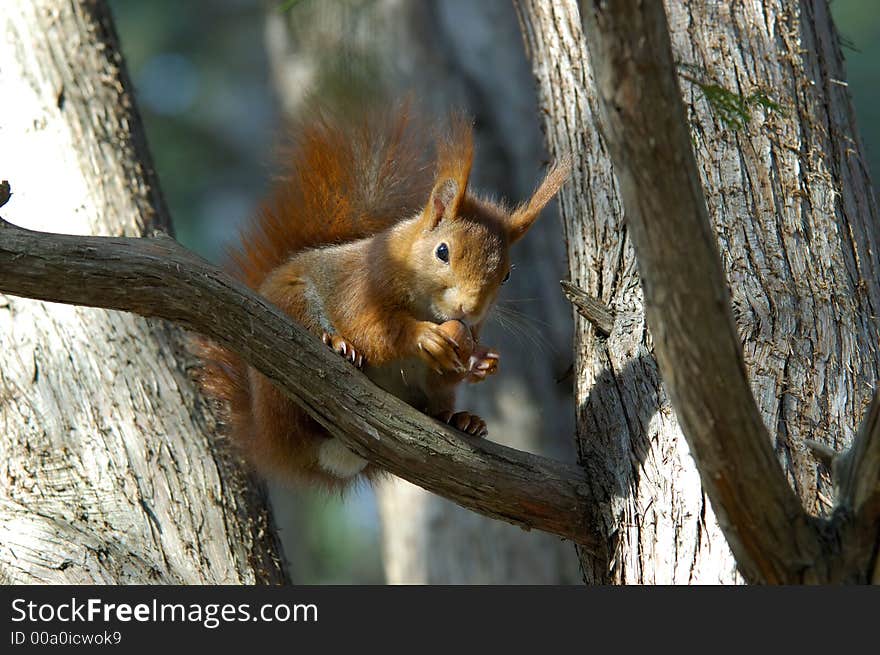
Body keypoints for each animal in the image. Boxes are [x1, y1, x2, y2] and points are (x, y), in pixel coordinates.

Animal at [195, 105, 568, 490]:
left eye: (507, 274)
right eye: (443, 251)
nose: (471, 308)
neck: (426, 306)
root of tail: (266, 438)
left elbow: (446, 372)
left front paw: (482, 361)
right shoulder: (360, 287)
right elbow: (370, 328)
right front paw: (422, 337)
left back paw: (461, 419)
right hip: (289, 318)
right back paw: (336, 344)